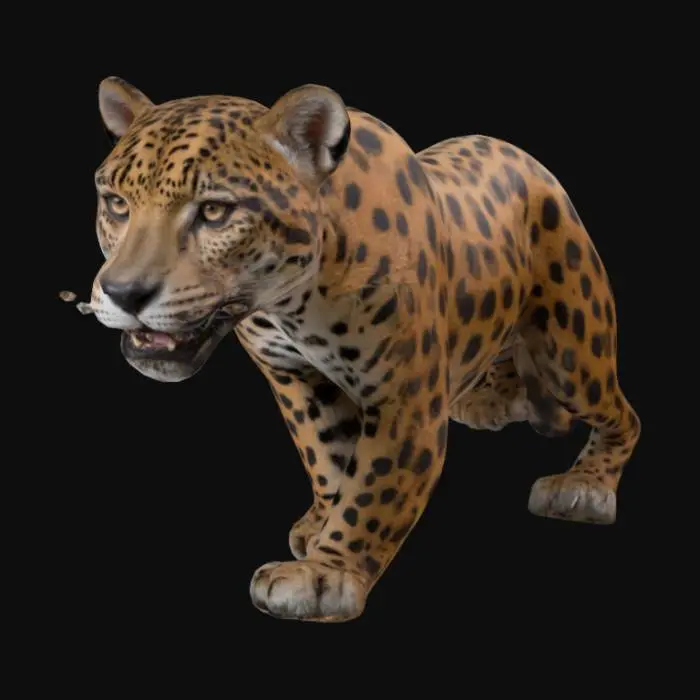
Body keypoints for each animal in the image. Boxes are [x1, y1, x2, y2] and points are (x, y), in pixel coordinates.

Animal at [87, 76, 641, 623]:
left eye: (215, 212)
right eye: (116, 204)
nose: (123, 292)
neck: (295, 303)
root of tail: (526, 159)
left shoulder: (406, 398)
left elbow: (376, 486)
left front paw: (323, 575)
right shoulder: (295, 379)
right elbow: (328, 458)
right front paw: (321, 530)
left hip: (573, 346)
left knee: (624, 416)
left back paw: (584, 486)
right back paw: (492, 400)